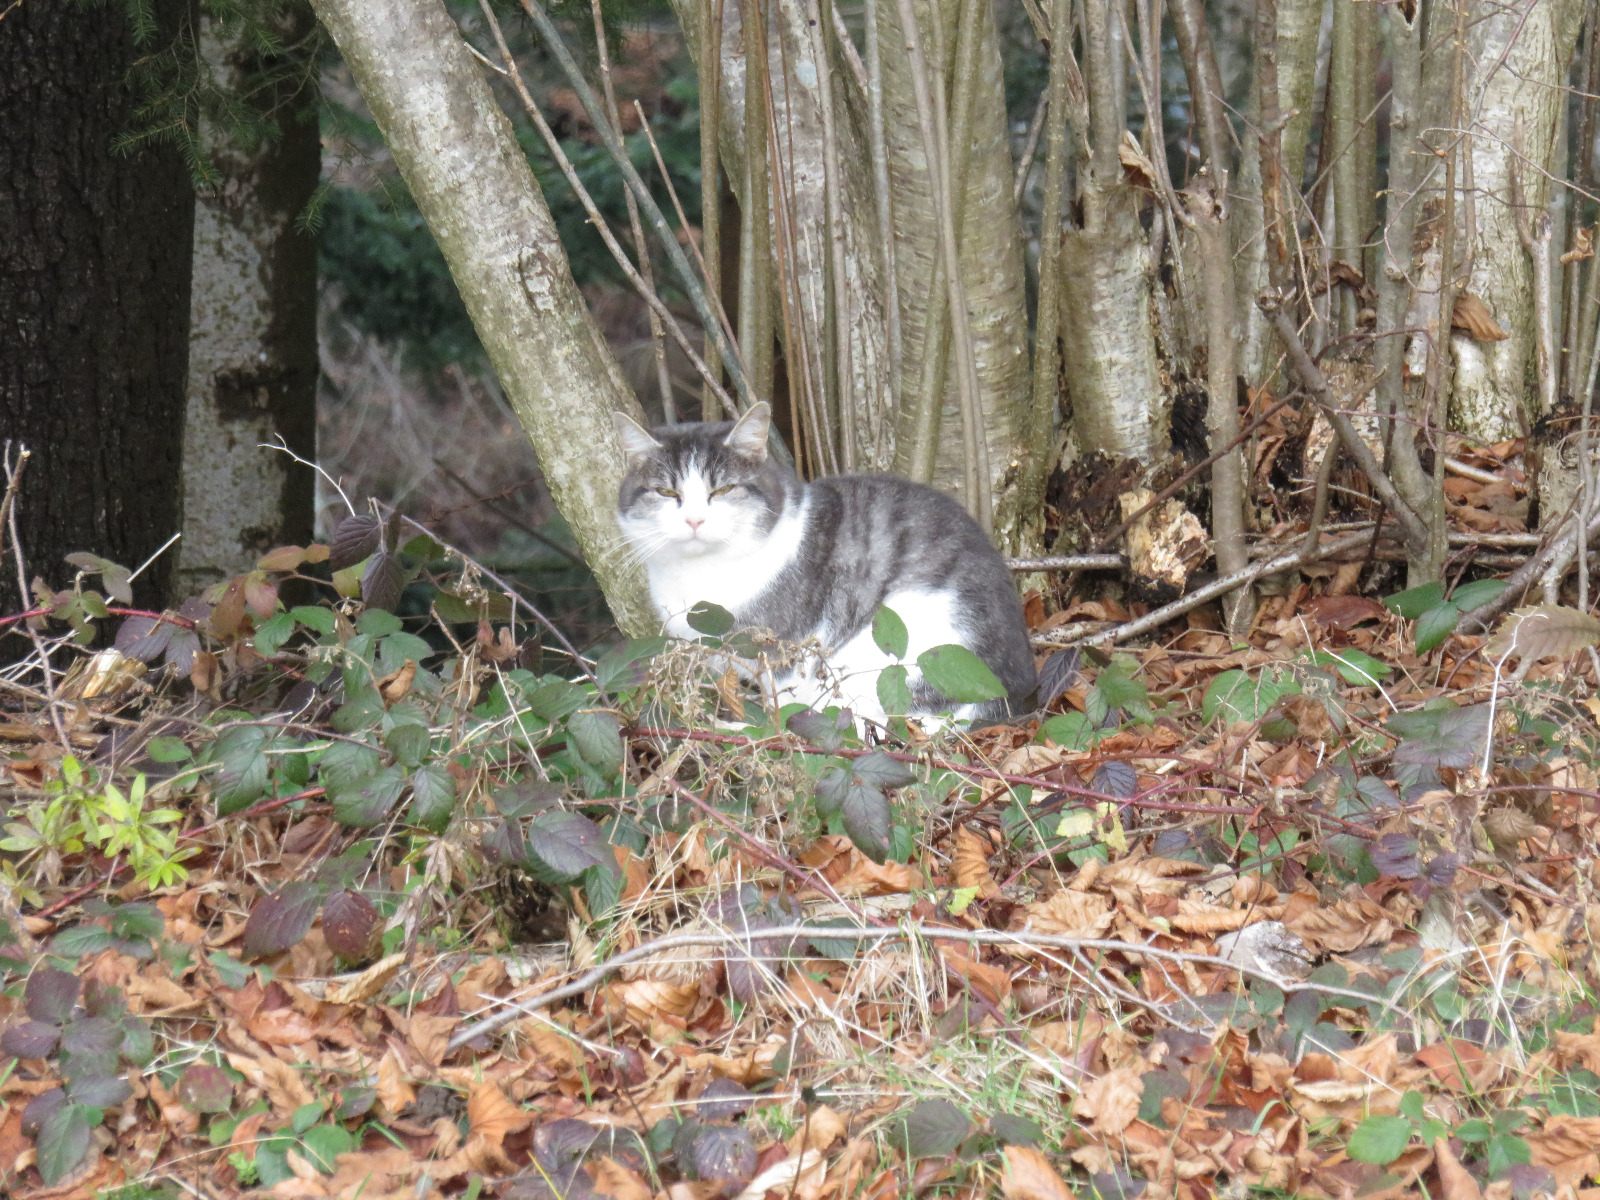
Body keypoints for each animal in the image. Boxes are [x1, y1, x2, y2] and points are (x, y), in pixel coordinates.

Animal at [611, 404, 1036, 723]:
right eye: (666, 492)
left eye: (724, 489)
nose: (695, 520)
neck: (698, 576)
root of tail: (1019, 688)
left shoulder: (784, 651)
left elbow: (781, 707)